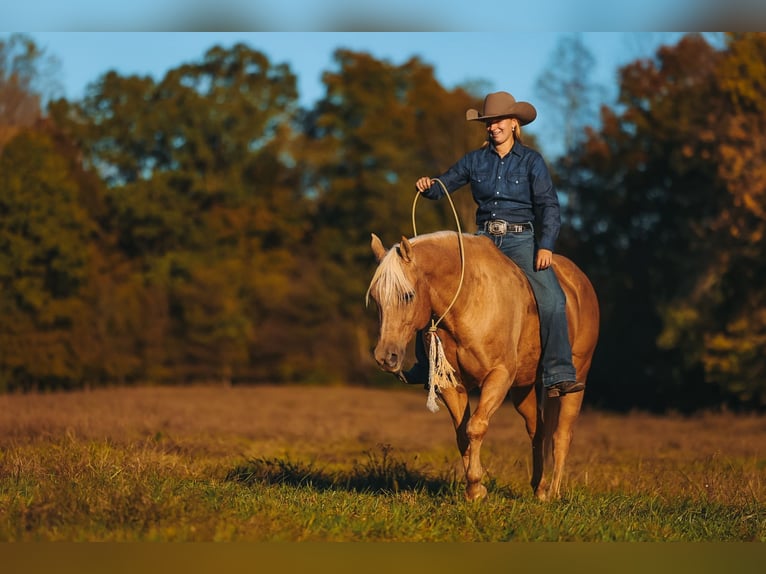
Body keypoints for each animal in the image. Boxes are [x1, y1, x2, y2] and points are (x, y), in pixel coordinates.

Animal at [366, 230, 599, 501]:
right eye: (375, 298)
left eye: (408, 295)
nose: (385, 356)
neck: (469, 298)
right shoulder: (452, 385)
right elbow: (461, 435)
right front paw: (473, 488)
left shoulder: (498, 376)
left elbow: (475, 427)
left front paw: (476, 488)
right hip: (523, 388)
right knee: (538, 430)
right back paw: (540, 488)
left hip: (577, 380)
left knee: (561, 436)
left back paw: (553, 492)